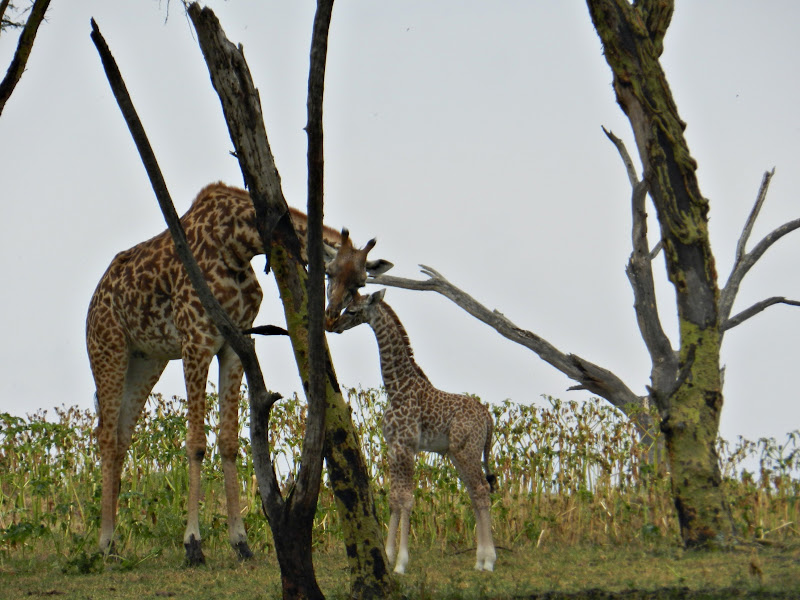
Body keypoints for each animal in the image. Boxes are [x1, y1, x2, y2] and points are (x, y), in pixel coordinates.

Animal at [86, 182, 390, 564]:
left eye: (360, 282)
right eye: (330, 272)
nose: (333, 315)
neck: (238, 243)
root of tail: (94, 300)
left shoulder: (234, 344)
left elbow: (229, 441)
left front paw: (240, 541)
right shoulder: (197, 341)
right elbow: (195, 443)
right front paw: (193, 544)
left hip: (146, 359)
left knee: (122, 436)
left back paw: (113, 542)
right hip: (108, 349)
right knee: (107, 436)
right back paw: (104, 542)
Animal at [328, 292, 496, 576]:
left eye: (351, 310)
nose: (334, 325)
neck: (396, 388)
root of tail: (488, 417)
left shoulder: (406, 447)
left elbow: (406, 499)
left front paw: (401, 563)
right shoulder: (393, 447)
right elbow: (394, 498)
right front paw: (388, 555)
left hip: (468, 450)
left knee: (482, 490)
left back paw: (488, 560)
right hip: (457, 453)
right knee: (475, 493)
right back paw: (479, 560)